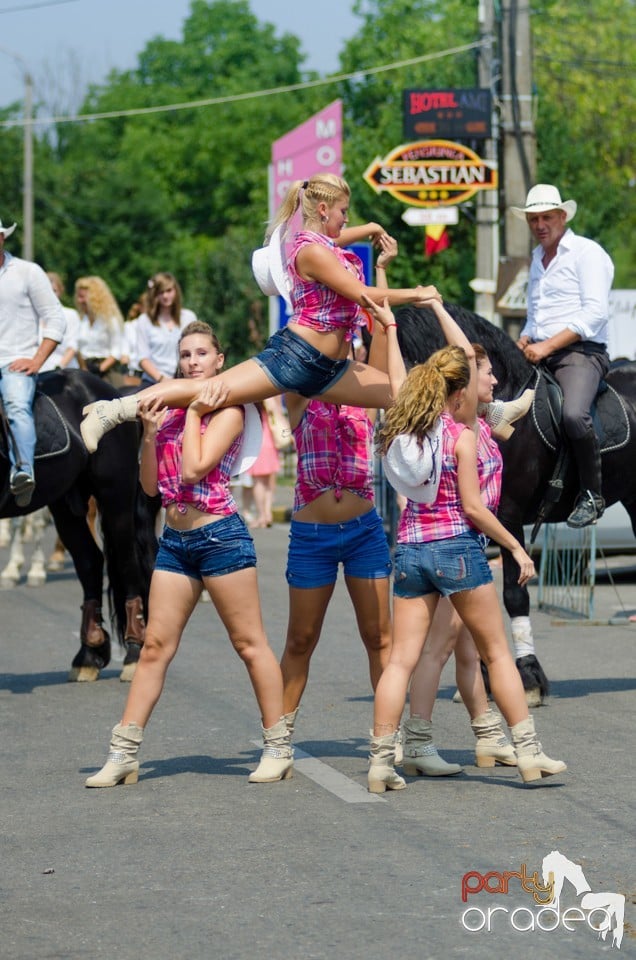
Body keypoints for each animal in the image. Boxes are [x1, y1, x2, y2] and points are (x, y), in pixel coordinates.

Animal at [0, 370, 158, 684]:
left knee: (127, 563)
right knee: (90, 561)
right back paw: (88, 655)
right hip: (65, 505)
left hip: (115, 498)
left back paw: (134, 654)